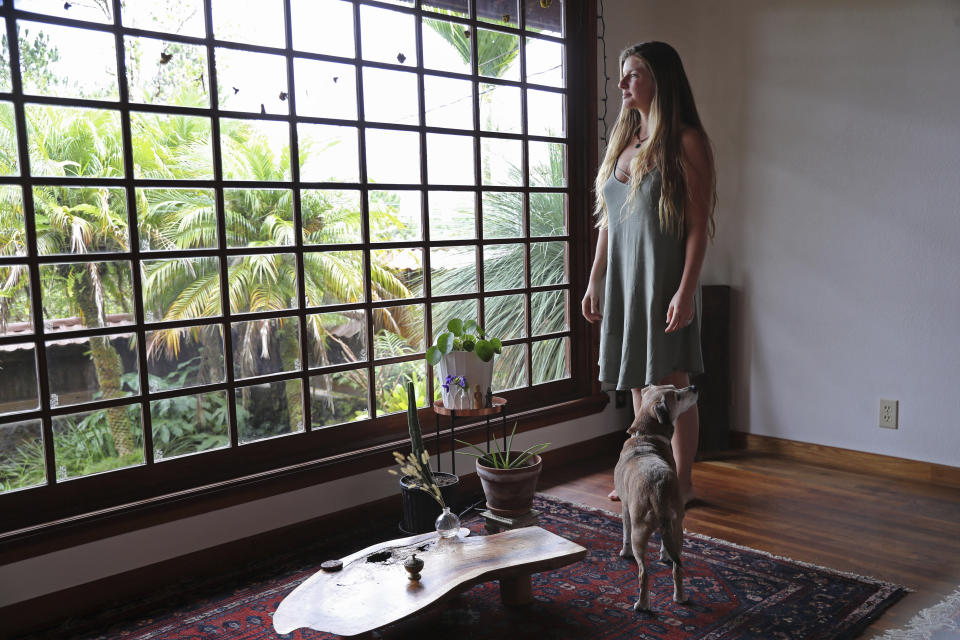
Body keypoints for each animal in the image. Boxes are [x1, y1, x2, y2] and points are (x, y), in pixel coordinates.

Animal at [616, 382, 696, 612]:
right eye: (676, 394)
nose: (694, 386)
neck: (645, 436)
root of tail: (658, 487)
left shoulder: (625, 508)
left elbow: (624, 533)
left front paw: (623, 553)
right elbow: (664, 543)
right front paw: (664, 555)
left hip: (639, 532)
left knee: (643, 572)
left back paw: (642, 604)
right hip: (678, 528)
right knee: (677, 568)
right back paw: (680, 597)